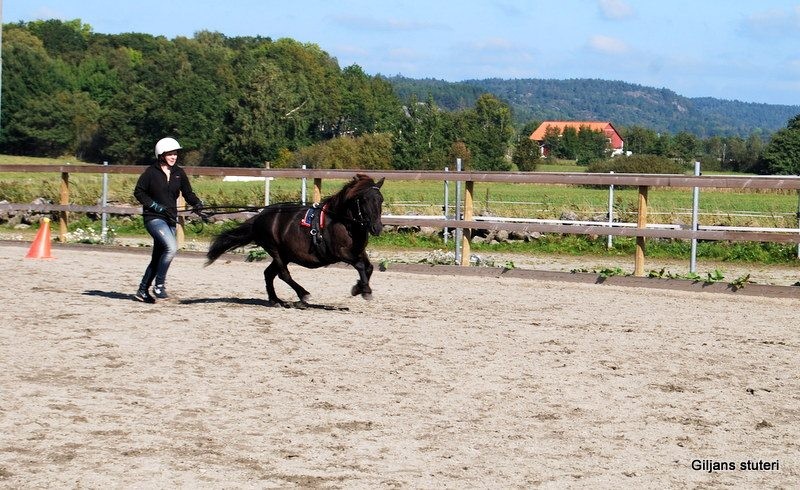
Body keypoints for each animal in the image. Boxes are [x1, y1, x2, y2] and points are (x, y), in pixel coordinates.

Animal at [205, 173, 382, 306]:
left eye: (381, 199)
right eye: (364, 200)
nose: (377, 228)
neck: (342, 221)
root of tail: (259, 217)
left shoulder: (358, 250)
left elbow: (369, 267)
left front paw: (359, 288)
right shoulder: (339, 252)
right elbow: (360, 265)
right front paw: (365, 290)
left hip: (286, 254)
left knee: (269, 273)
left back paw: (275, 300)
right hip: (275, 250)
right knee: (283, 274)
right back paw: (303, 294)